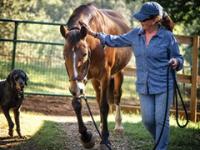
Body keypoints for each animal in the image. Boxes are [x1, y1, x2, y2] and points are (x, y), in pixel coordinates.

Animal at [60, 3, 132, 149]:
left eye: (84, 54)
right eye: (64, 55)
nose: (74, 89)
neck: (95, 44)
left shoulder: (105, 76)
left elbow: (105, 106)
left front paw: (105, 139)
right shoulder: (81, 80)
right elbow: (77, 104)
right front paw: (86, 137)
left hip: (118, 73)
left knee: (116, 96)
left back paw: (118, 125)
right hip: (94, 80)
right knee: (98, 98)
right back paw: (101, 124)